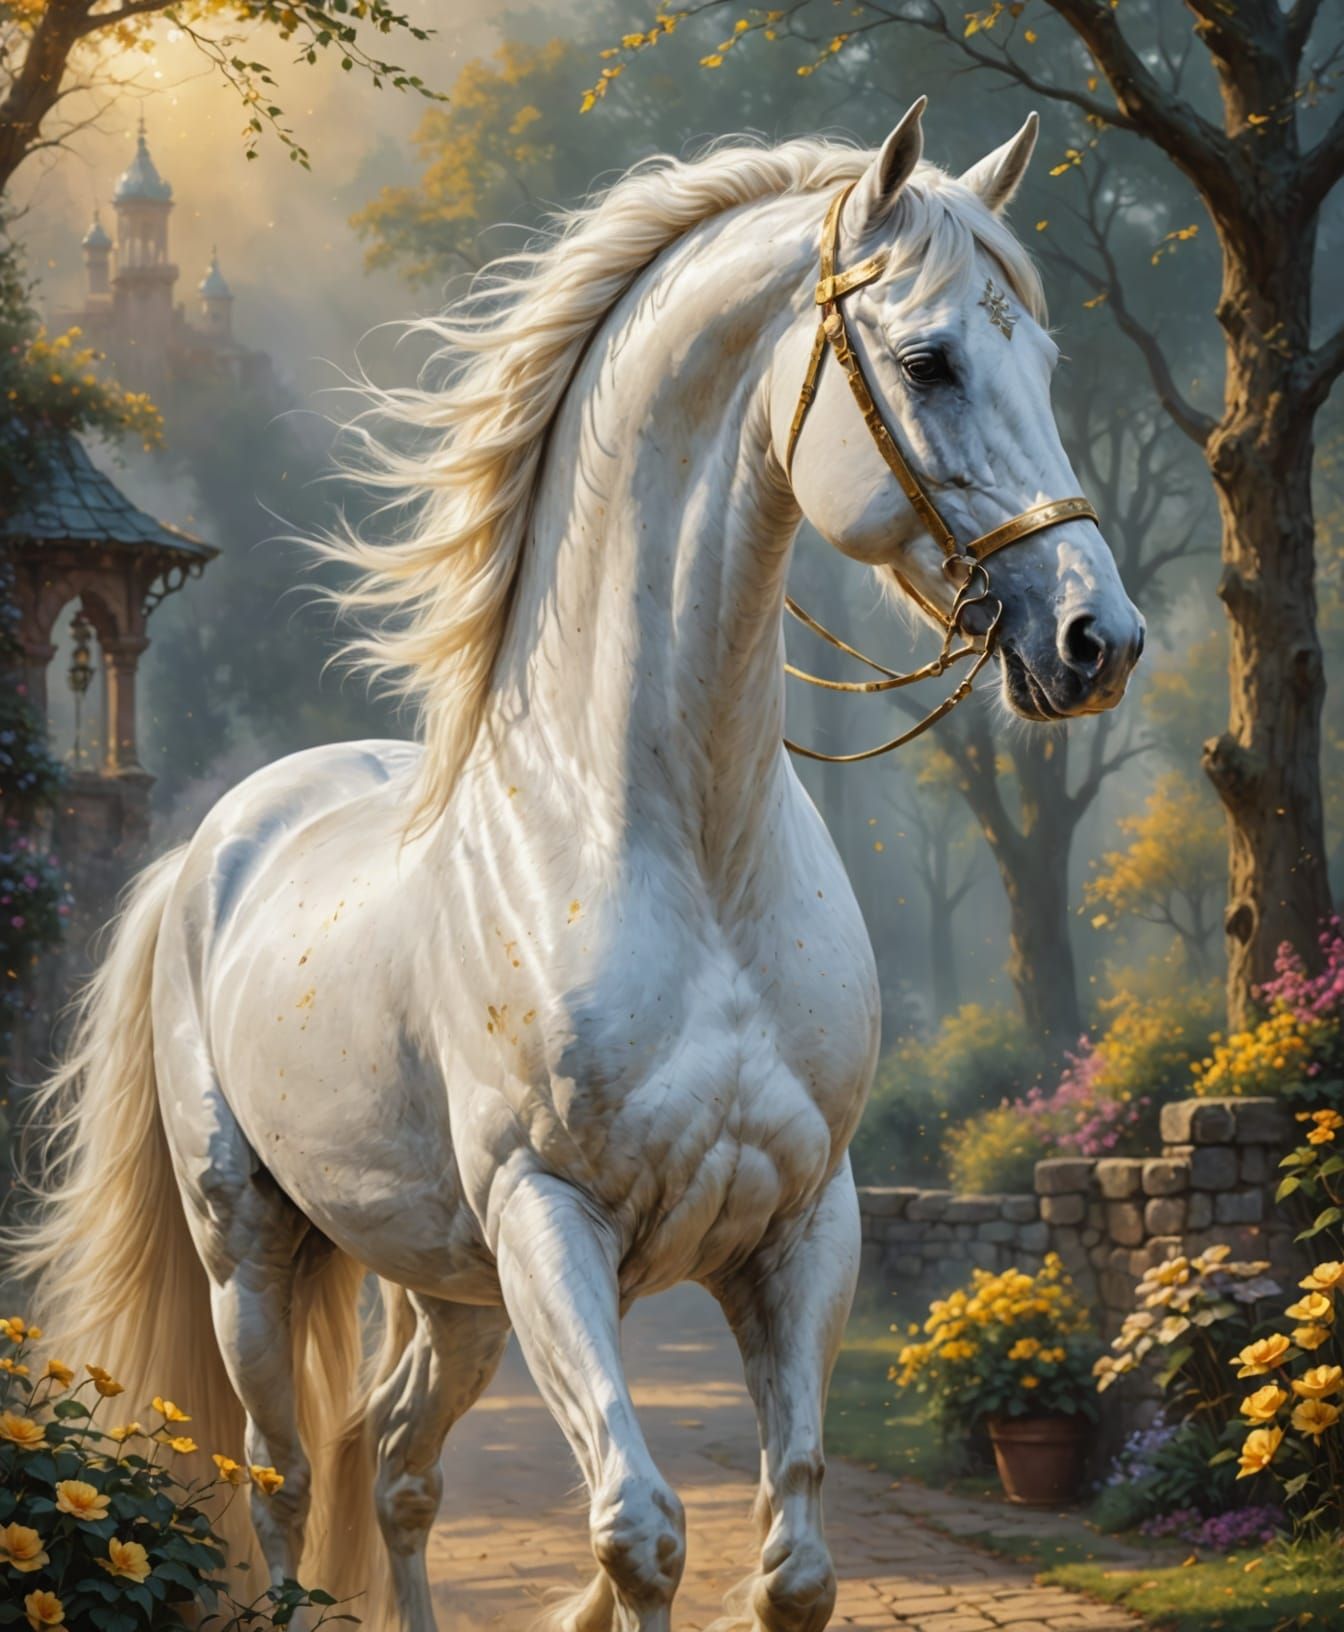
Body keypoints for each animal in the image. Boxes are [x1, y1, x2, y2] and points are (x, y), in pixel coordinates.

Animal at [19, 101, 1143, 1632]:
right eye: (930, 359)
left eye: (1043, 359)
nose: (1099, 639)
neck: (681, 855)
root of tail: (214, 841)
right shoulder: (550, 1225)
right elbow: (639, 1535)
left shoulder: (802, 1230)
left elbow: (791, 1563)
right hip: (251, 1247)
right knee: (286, 1483)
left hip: (449, 1288)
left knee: (396, 1466)